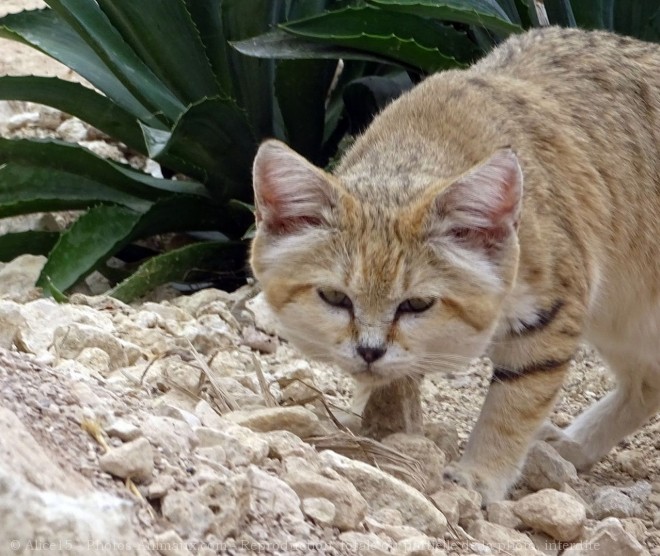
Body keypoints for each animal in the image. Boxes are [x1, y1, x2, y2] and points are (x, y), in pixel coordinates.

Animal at [249, 26, 660, 504]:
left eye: (417, 304)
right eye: (334, 297)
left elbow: (513, 403)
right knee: (646, 384)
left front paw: (479, 475)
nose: (369, 350)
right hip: (621, 316)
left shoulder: (553, 309)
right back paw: (573, 445)